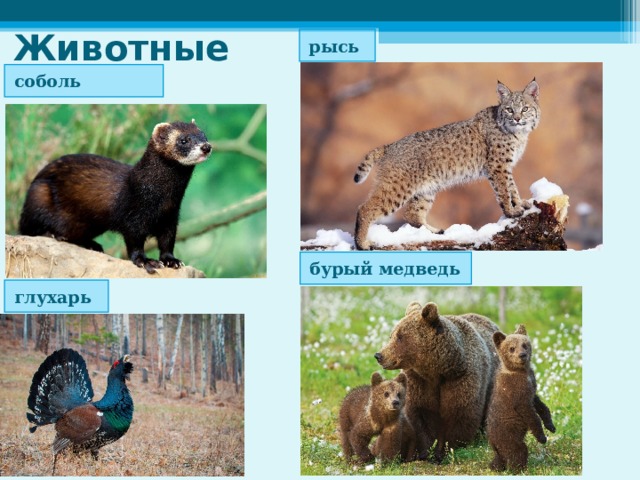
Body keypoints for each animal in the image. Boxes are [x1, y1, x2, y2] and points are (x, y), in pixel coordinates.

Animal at [374, 301, 500, 463]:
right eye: (392, 335)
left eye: (400, 337)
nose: (379, 355)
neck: (437, 370)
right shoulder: (419, 382)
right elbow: (421, 416)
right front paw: (424, 452)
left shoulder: (460, 378)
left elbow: (459, 414)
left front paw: (444, 451)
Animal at [487, 325, 556, 472]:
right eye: (512, 348)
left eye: (525, 345)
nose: (522, 355)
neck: (521, 371)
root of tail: (493, 443)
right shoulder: (517, 392)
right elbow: (529, 413)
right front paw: (542, 437)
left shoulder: (531, 385)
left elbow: (539, 404)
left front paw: (551, 425)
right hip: (508, 434)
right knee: (518, 450)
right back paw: (520, 469)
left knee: (501, 457)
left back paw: (496, 466)